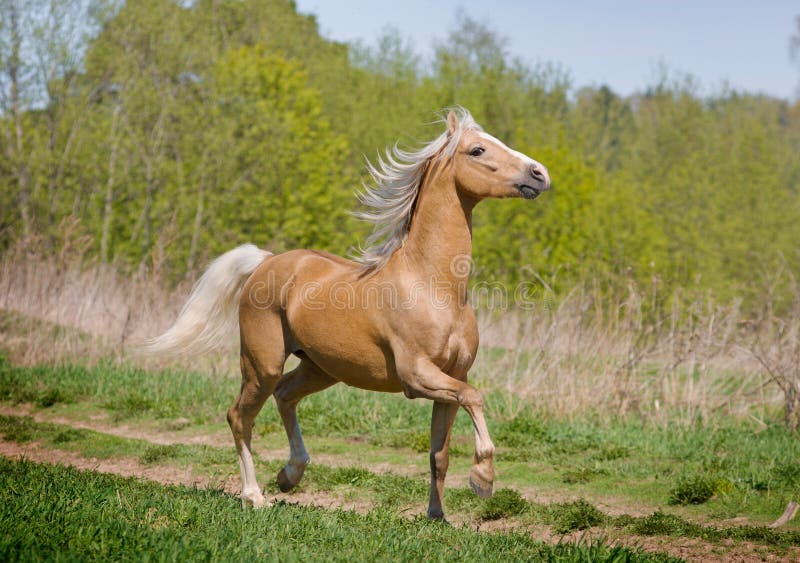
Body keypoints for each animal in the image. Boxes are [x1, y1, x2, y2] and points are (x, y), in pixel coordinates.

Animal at [144, 108, 550, 521]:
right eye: (478, 149)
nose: (539, 173)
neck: (434, 287)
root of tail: (266, 262)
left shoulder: (451, 379)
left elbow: (440, 454)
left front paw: (438, 517)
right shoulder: (417, 376)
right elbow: (475, 398)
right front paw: (483, 480)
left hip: (322, 367)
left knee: (285, 395)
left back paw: (290, 475)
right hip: (262, 363)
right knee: (240, 416)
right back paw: (255, 496)